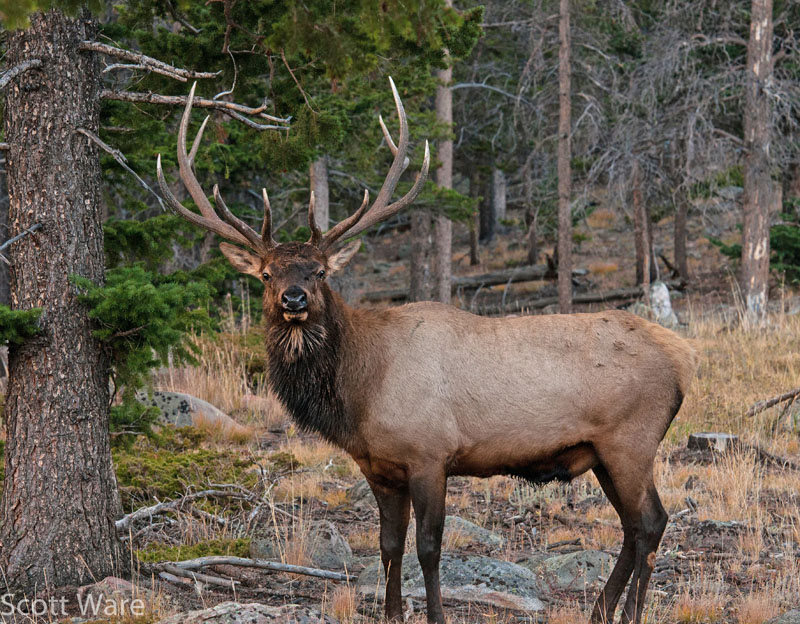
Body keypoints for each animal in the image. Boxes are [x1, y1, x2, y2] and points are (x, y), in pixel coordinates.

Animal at [156, 79, 695, 624]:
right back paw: (602, 610)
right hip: (604, 452)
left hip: (630, 440)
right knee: (632, 527)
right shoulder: (378, 467)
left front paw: (434, 613)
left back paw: (629, 613)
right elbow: (389, 545)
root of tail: (683, 358)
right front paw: (392, 613)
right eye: (266, 274)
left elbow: (429, 548)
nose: (294, 298)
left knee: (652, 522)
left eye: (320, 271)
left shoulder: (429, 453)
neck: (359, 391)